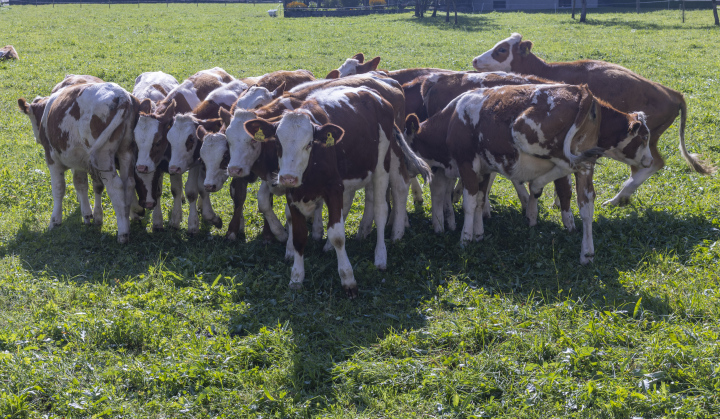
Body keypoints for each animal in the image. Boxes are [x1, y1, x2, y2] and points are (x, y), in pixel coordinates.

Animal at [18, 83, 140, 243]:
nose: (36, 138)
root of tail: (121, 96)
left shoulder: (52, 159)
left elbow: (58, 189)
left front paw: (55, 220)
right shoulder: (78, 161)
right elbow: (81, 184)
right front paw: (87, 215)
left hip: (103, 157)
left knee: (116, 186)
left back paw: (123, 233)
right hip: (126, 151)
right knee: (129, 182)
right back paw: (128, 218)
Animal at [245, 87, 430, 296]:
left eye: (309, 143)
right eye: (277, 142)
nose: (287, 178)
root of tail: (375, 95)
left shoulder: (334, 189)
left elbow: (338, 236)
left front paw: (348, 279)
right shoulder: (293, 196)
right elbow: (299, 237)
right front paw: (296, 278)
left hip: (382, 165)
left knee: (382, 209)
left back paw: (381, 255)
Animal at [444, 83, 652, 264]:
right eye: (644, 137)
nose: (650, 161)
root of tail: (582, 91)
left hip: (527, 136)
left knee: (567, 166)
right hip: (583, 166)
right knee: (586, 204)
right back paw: (587, 253)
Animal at [470, 33, 712, 208]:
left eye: (501, 50)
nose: (474, 59)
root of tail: (672, 93)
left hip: (643, 142)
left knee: (653, 164)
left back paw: (617, 198)